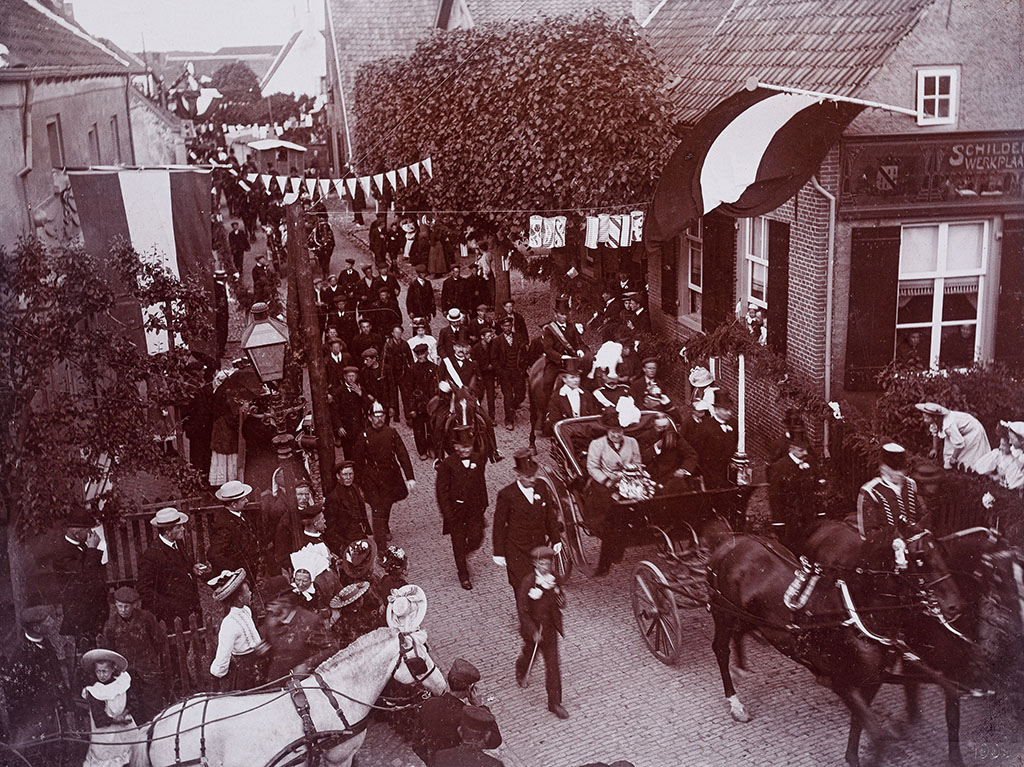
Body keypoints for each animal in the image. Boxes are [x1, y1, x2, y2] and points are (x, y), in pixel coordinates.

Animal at [708, 528, 962, 761]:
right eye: (919, 559)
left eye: (943, 552)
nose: (954, 605)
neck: (856, 615)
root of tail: (731, 541)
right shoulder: (842, 682)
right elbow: (877, 735)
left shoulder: (875, 677)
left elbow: (947, 687)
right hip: (724, 612)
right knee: (720, 649)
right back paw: (735, 702)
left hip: (749, 616)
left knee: (741, 631)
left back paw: (741, 667)